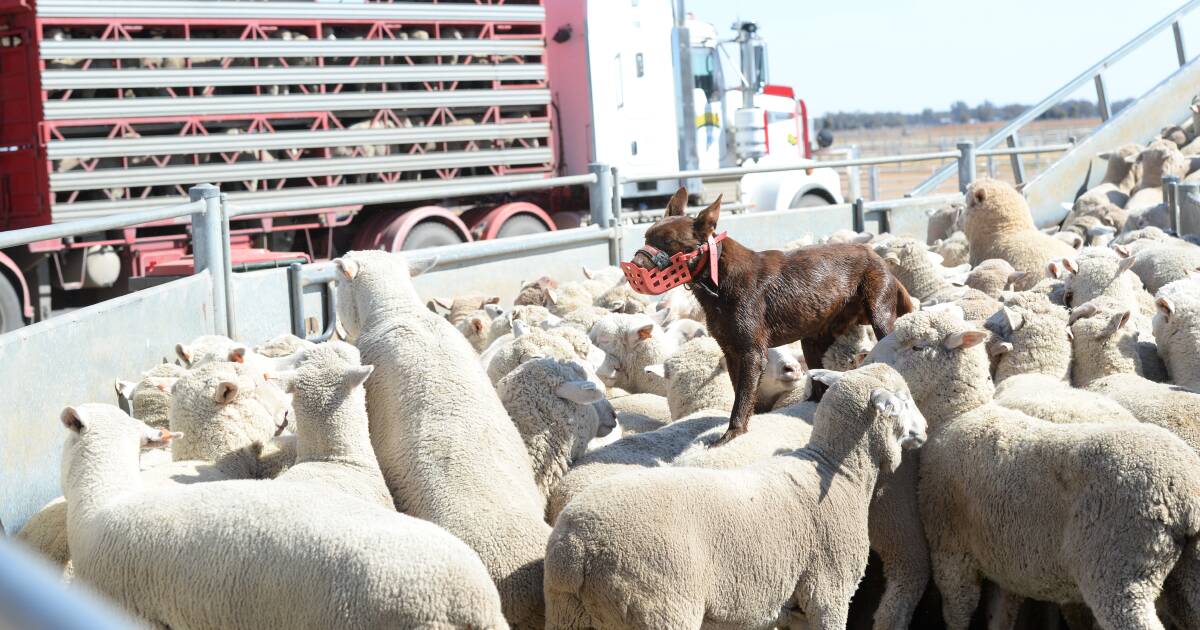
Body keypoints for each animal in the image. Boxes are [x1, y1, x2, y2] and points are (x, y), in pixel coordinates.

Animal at [544, 362, 926, 628]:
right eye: (904, 400)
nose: (924, 430)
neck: (837, 471)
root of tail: (577, 550)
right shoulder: (828, 590)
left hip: (568, 613)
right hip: (657, 608)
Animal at [633, 189, 912, 444]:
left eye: (668, 242)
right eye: (646, 236)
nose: (633, 266)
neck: (717, 278)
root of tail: (874, 255)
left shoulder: (752, 354)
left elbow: (742, 400)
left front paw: (731, 435)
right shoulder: (732, 352)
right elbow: (742, 395)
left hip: (880, 316)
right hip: (812, 341)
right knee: (818, 385)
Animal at [868, 307, 1200, 624]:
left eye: (917, 346)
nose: (869, 361)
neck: (958, 415)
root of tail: (1185, 497)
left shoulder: (950, 547)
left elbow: (959, 612)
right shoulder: (1004, 559)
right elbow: (1001, 613)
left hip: (1118, 567)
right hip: (1184, 573)